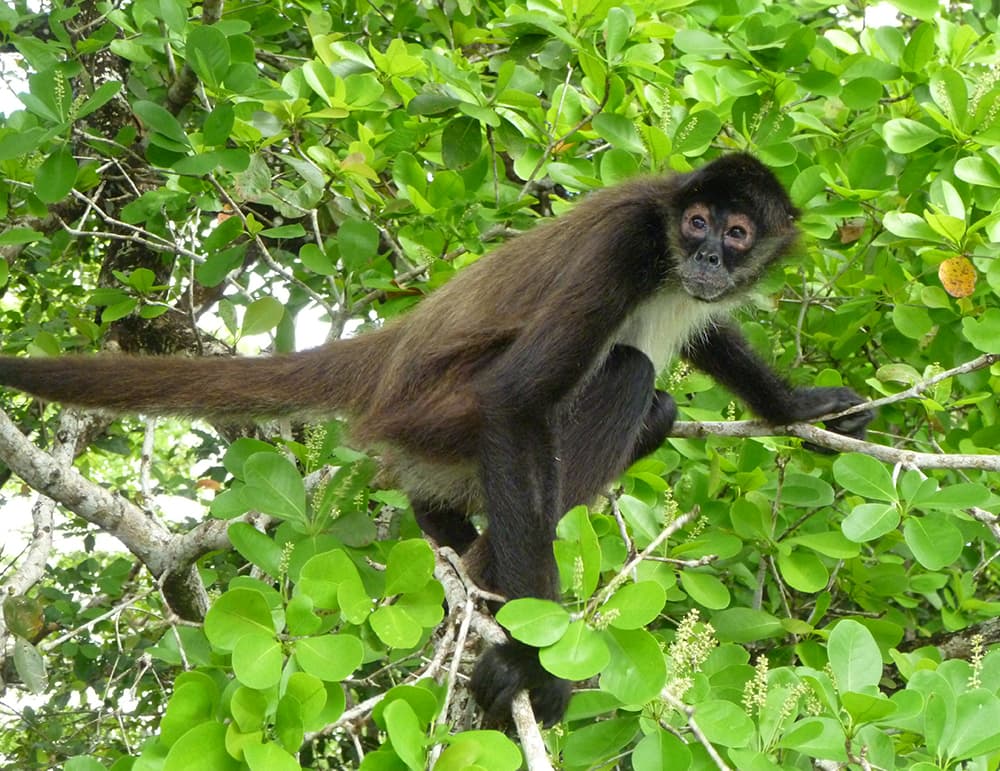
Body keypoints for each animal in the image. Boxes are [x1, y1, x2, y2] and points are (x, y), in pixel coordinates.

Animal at [0, 154, 873, 725]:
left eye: (736, 231)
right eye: (696, 223)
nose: (707, 253)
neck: (664, 252)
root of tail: (393, 356)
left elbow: (714, 334)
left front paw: (802, 405)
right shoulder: (625, 243)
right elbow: (518, 401)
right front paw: (528, 658)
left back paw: (449, 537)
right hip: (436, 408)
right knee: (626, 374)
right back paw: (486, 581)